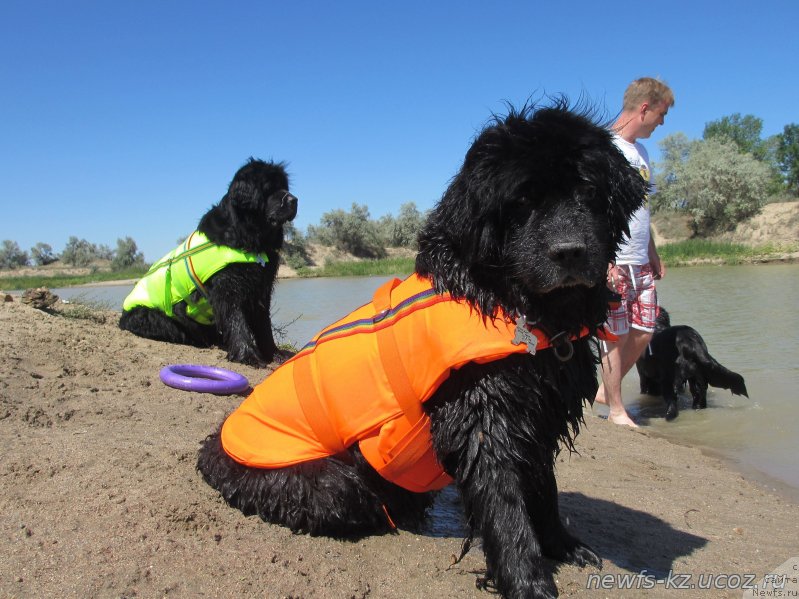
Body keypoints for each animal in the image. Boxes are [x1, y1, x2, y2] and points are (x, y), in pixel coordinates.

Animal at [122, 158, 300, 366]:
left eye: (284, 187)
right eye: (268, 188)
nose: (294, 200)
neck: (248, 238)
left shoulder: (261, 288)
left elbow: (264, 325)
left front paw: (275, 353)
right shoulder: (228, 287)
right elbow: (237, 321)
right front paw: (247, 355)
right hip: (154, 315)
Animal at [197, 99, 648, 599]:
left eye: (587, 190)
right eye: (522, 201)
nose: (568, 251)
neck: (509, 300)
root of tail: (212, 449)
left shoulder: (539, 409)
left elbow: (543, 487)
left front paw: (563, 545)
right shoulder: (484, 414)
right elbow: (506, 506)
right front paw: (526, 580)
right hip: (331, 479)